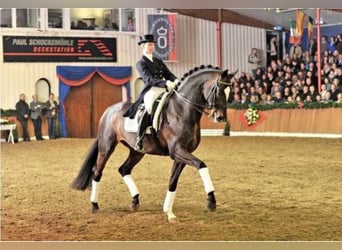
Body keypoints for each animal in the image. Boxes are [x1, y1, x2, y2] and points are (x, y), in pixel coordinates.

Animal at [71, 65, 238, 223]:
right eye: (218, 89)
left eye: (230, 91)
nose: (221, 118)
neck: (182, 110)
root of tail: (109, 110)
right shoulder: (177, 151)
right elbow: (202, 165)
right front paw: (211, 201)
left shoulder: (181, 154)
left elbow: (173, 182)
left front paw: (169, 212)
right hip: (107, 148)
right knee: (97, 173)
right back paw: (94, 205)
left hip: (137, 151)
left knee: (124, 169)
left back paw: (134, 201)